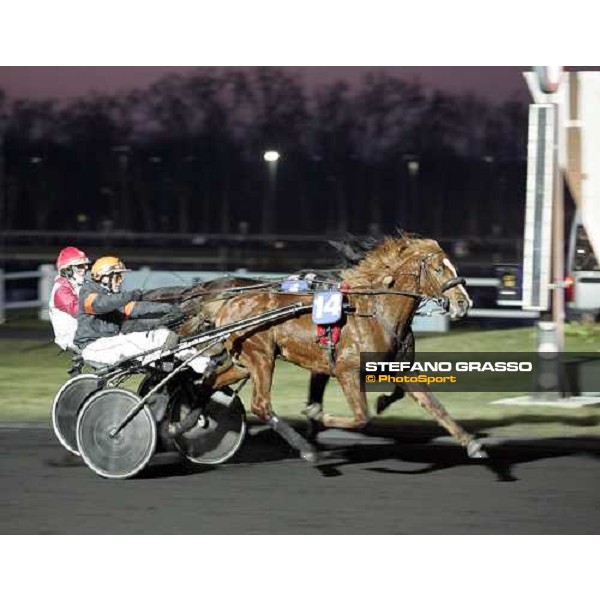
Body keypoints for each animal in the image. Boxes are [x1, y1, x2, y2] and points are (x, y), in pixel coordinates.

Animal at [198, 234, 488, 460]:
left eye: (452, 266)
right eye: (439, 269)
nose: (464, 303)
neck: (378, 314)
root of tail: (231, 302)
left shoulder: (401, 369)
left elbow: (433, 405)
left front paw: (471, 443)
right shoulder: (346, 372)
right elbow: (361, 417)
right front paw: (319, 416)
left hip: (244, 362)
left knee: (210, 383)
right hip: (261, 357)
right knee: (261, 405)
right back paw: (306, 449)